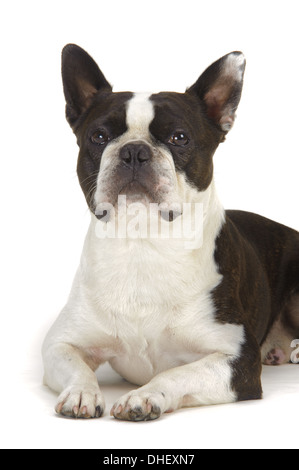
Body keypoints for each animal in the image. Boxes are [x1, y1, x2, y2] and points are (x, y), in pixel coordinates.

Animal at [42, 43, 299, 418]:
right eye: (99, 136)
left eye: (179, 138)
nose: (134, 150)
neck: (144, 243)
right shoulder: (60, 343)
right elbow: (76, 366)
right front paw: (80, 393)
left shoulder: (237, 360)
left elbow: (177, 374)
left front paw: (145, 395)